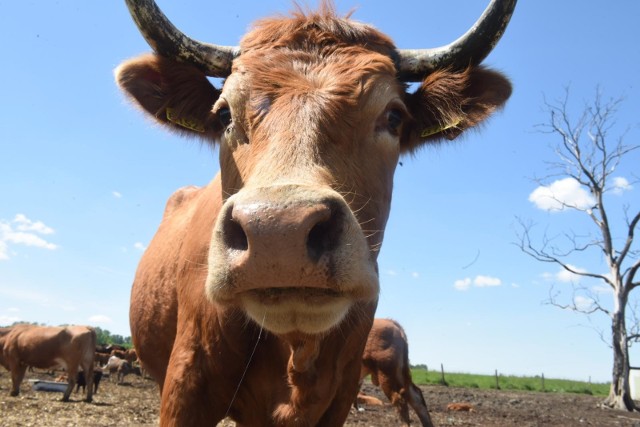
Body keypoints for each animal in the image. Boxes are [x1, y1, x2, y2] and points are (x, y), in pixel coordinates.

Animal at [115, 0, 516, 424]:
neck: (295, 347)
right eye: (224, 114)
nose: (278, 233)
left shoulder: (340, 395)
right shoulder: (185, 385)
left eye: (393, 116)